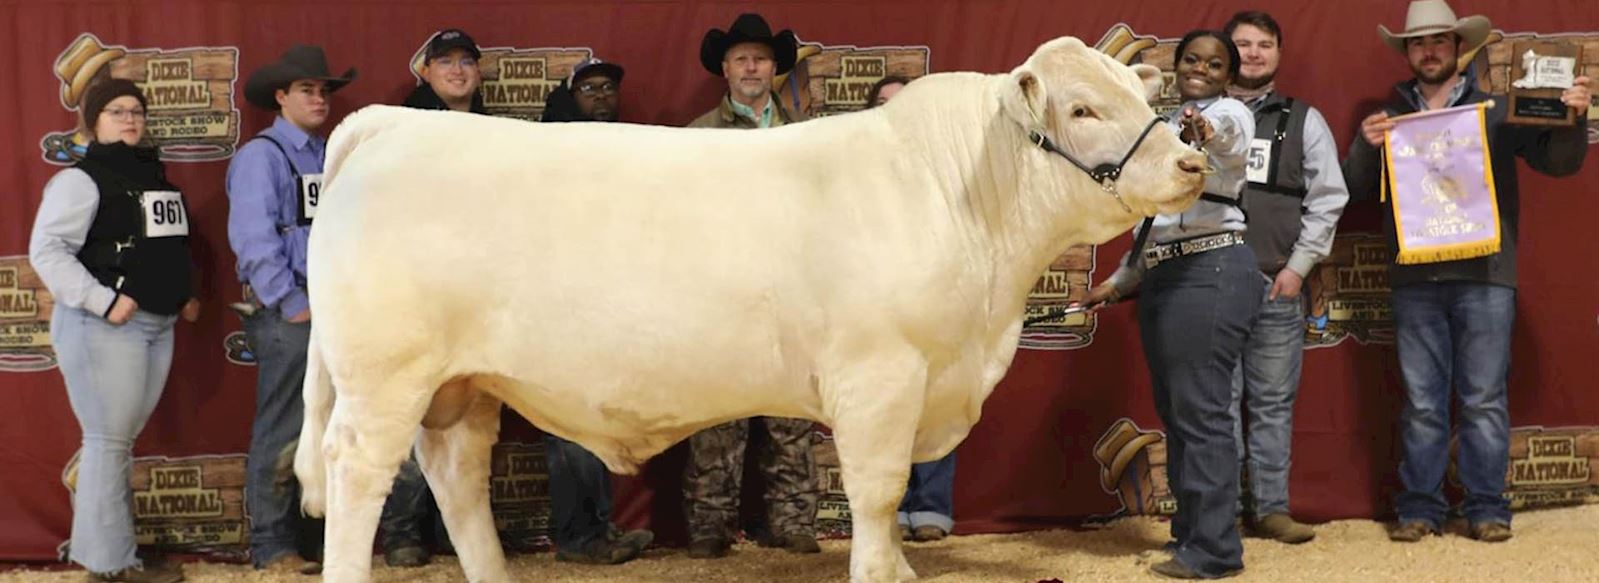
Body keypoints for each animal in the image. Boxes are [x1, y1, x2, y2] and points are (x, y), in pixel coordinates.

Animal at [297, 36, 1202, 581]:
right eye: (1080, 108)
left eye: (1135, 97)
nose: (1191, 161)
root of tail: (389, 125)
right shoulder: (878, 378)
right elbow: (877, 495)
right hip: (383, 379)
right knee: (358, 473)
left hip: (460, 385)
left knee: (454, 477)